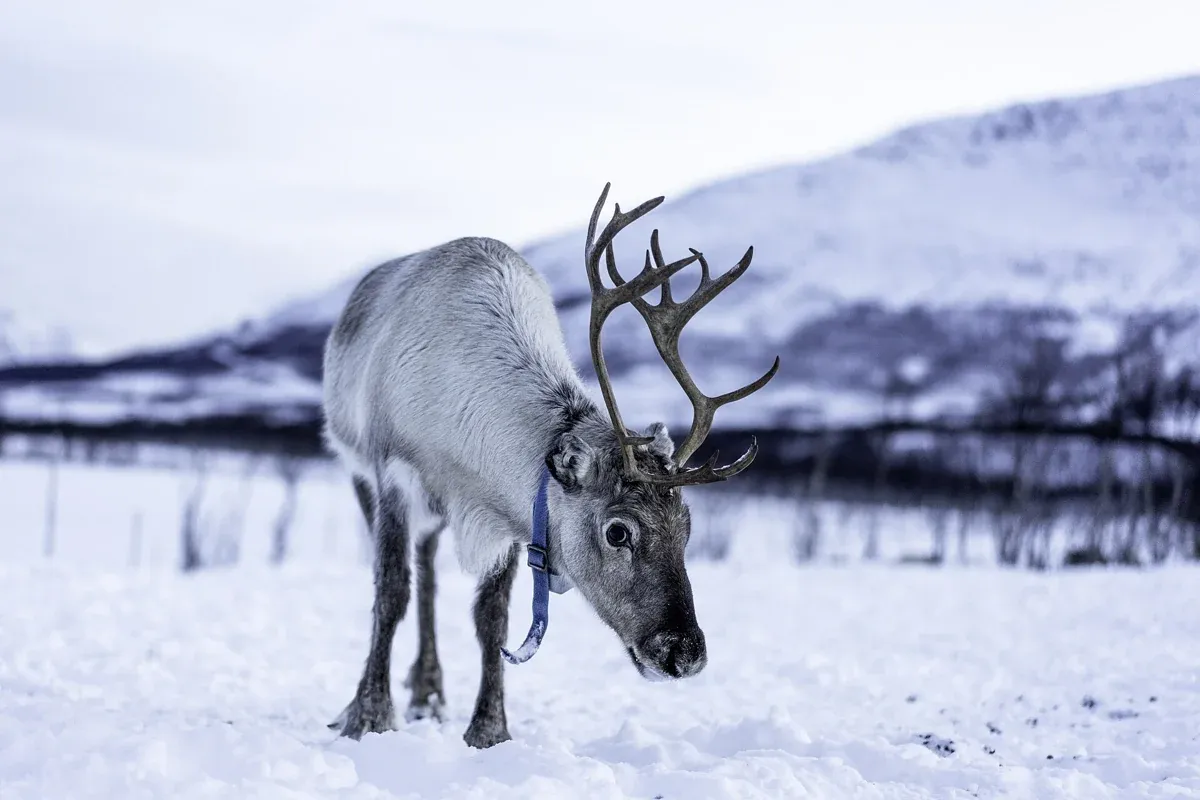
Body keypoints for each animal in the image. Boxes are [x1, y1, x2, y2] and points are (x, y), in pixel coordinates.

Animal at [320, 182, 779, 749]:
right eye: (618, 531)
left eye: (687, 527)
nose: (685, 654)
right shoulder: (393, 477)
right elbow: (390, 592)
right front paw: (368, 714)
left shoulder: (508, 515)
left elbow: (491, 617)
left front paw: (488, 728)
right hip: (357, 468)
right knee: (409, 576)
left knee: (427, 570)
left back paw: (429, 691)